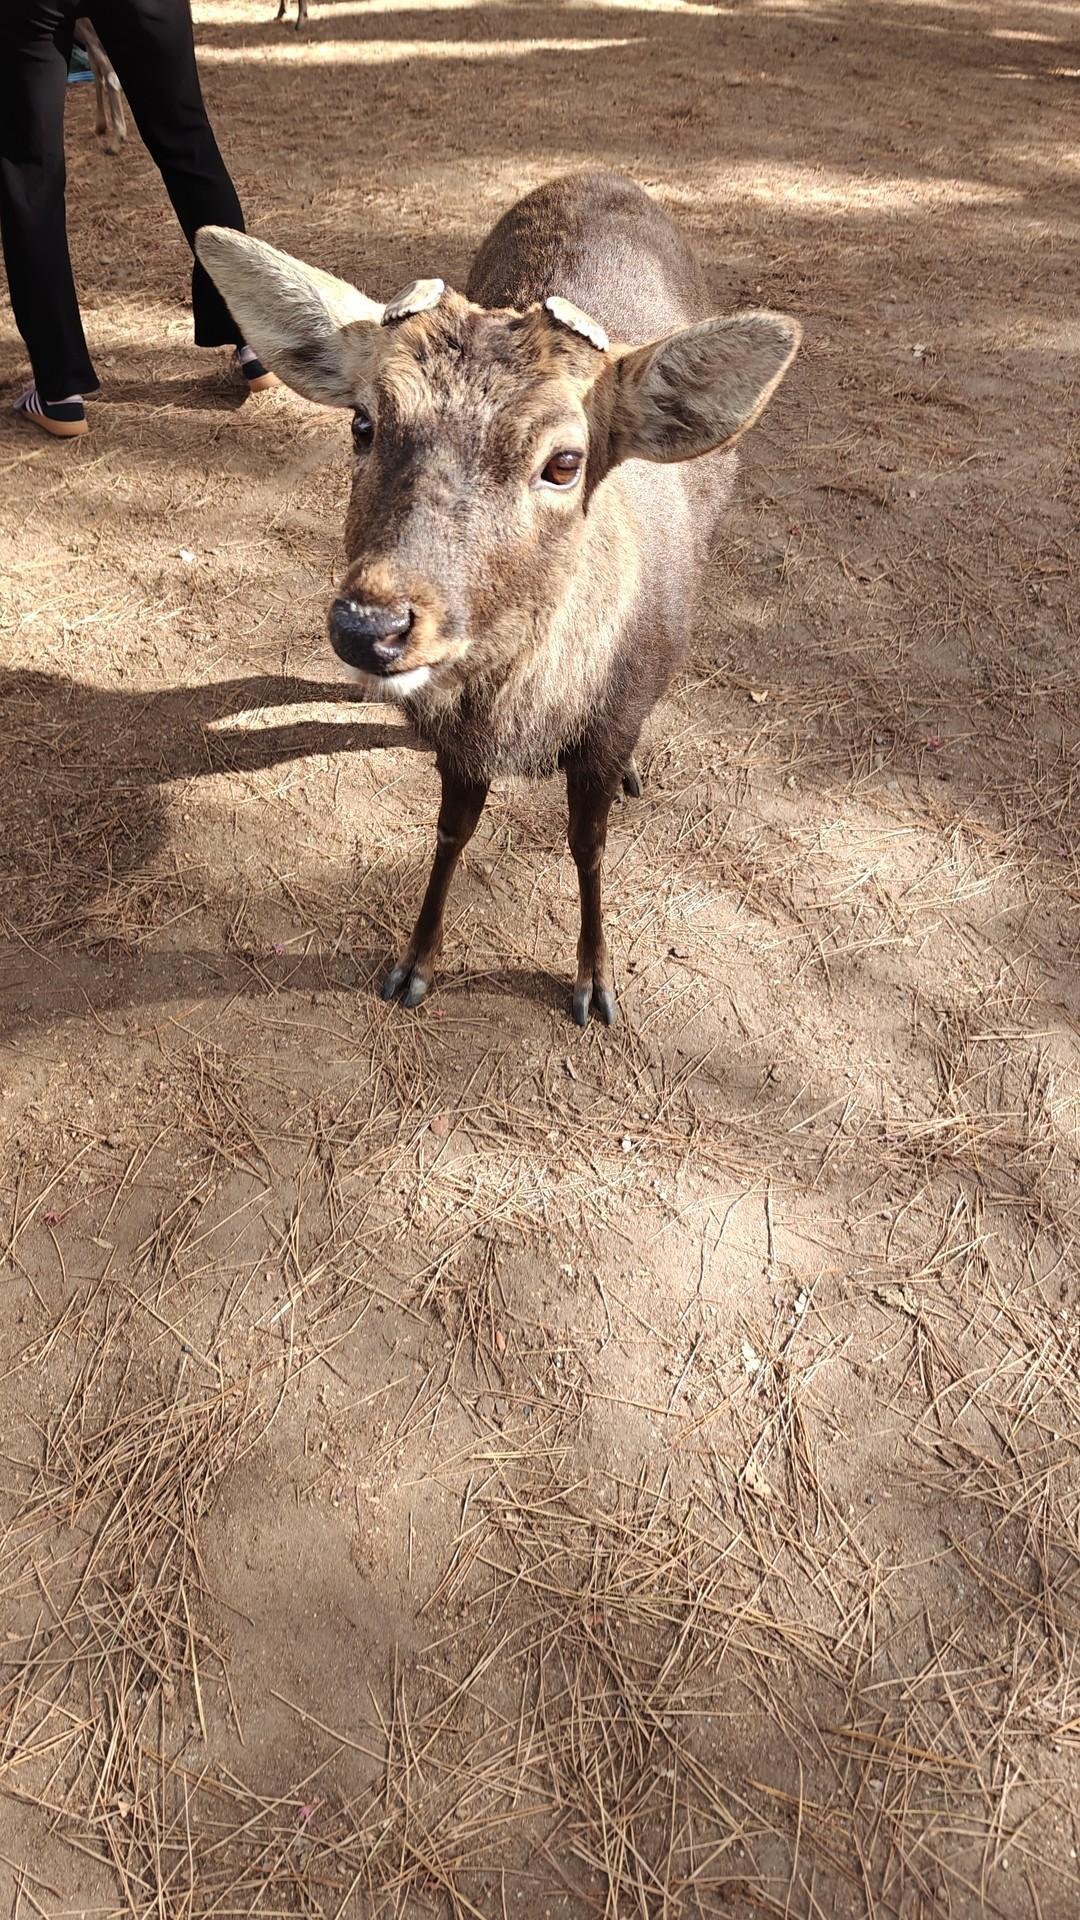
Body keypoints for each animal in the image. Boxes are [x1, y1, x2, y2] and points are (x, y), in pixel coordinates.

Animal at [195, 171, 800, 1026]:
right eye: (363, 421)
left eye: (565, 461)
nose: (371, 625)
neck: (526, 717)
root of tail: (597, 174)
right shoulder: (457, 745)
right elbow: (451, 831)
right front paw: (414, 964)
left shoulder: (607, 725)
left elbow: (588, 847)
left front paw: (595, 984)